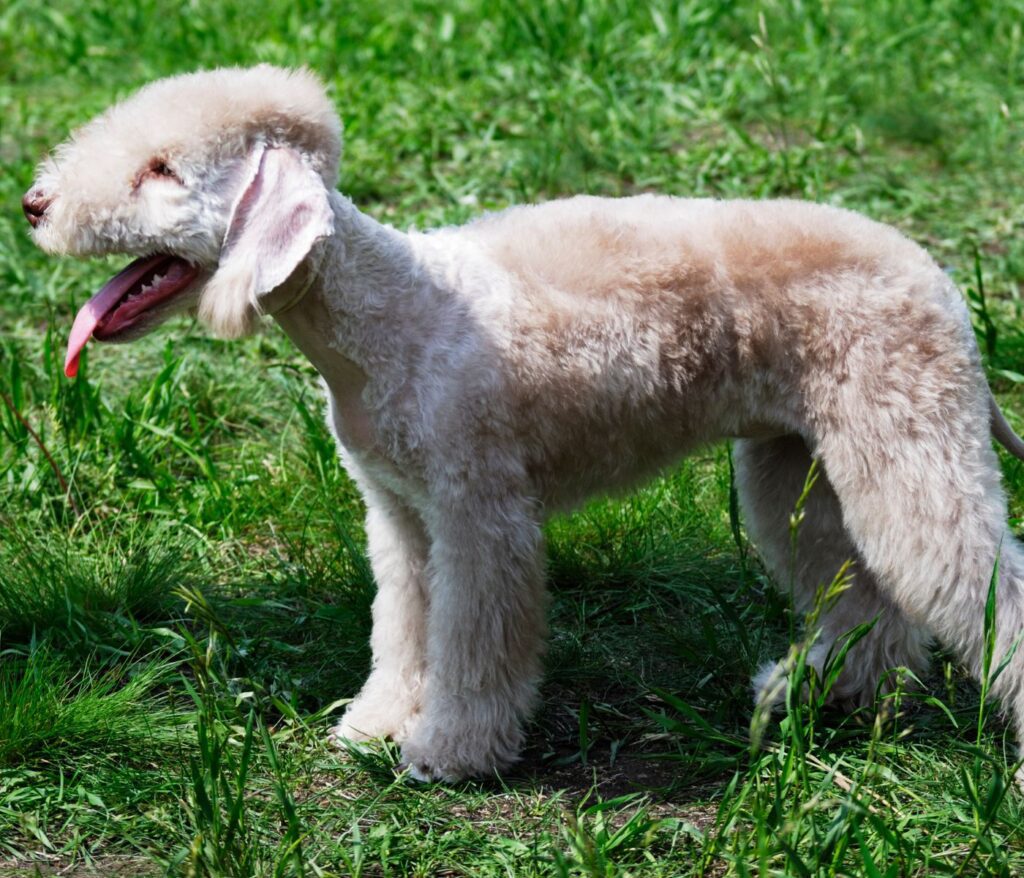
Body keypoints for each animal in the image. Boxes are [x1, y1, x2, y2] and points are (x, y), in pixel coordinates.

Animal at [22, 66, 1024, 782]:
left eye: (162, 169)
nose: (33, 205)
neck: (387, 313)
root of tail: (936, 275)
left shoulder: (480, 514)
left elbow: (474, 643)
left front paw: (445, 754)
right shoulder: (401, 517)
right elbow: (404, 632)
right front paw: (375, 726)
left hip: (910, 434)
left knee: (972, 576)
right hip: (797, 463)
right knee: (864, 596)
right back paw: (824, 695)